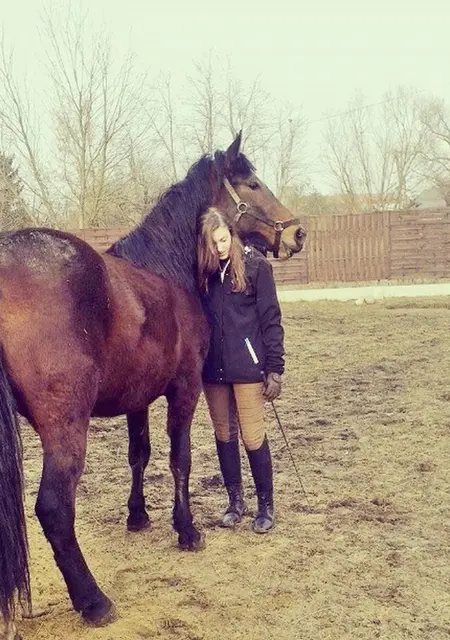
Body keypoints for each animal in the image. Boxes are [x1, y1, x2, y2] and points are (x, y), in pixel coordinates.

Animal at [0, 132, 306, 639]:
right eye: (252, 183)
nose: (297, 232)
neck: (165, 272)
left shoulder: (137, 397)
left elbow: (138, 455)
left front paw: (138, 516)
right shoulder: (184, 389)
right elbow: (179, 459)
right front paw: (187, 531)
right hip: (66, 427)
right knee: (54, 508)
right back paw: (94, 601)